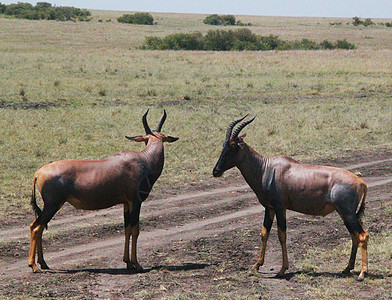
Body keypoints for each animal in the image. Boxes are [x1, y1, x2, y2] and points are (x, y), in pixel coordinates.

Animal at [28, 109, 178, 272]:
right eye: (146, 140)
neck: (143, 160)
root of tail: (38, 172)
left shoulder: (126, 204)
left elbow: (126, 229)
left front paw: (128, 262)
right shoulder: (135, 202)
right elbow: (135, 230)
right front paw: (137, 264)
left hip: (50, 206)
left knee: (38, 227)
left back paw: (43, 263)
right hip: (52, 205)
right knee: (36, 228)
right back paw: (34, 266)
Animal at [213, 115, 370, 282]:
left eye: (233, 146)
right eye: (223, 144)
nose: (216, 171)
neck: (266, 168)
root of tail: (361, 182)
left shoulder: (280, 207)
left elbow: (282, 235)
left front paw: (282, 270)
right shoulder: (269, 208)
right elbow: (264, 233)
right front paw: (256, 265)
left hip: (347, 213)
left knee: (363, 235)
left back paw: (362, 274)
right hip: (345, 214)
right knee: (354, 236)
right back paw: (347, 268)